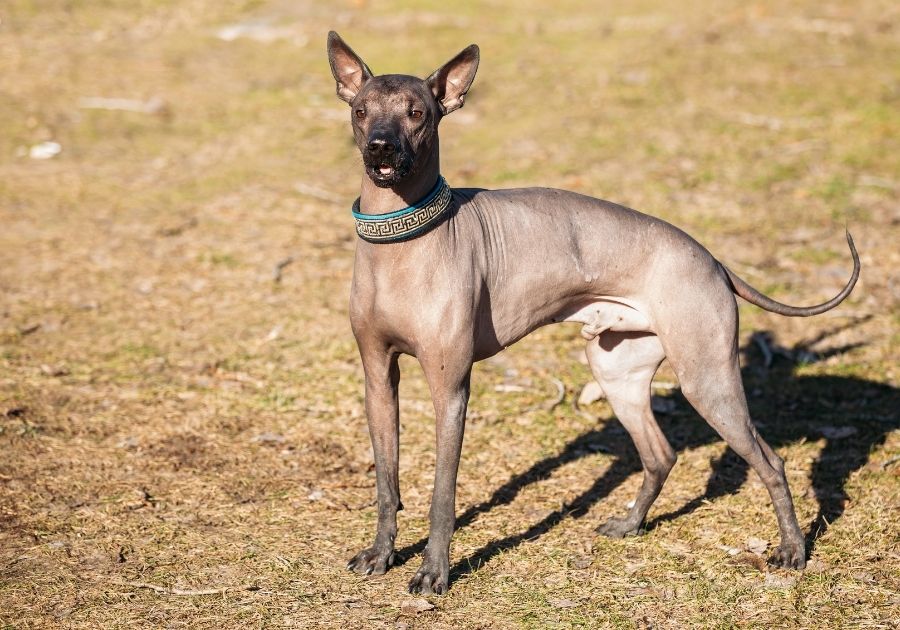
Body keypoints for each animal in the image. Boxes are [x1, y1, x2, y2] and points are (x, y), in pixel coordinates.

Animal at [326, 30, 860, 596]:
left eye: (417, 113)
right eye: (361, 111)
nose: (381, 146)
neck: (401, 238)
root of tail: (713, 259)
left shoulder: (450, 390)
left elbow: (441, 495)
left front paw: (434, 570)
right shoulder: (378, 379)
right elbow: (386, 481)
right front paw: (382, 554)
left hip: (706, 379)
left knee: (772, 461)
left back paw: (793, 551)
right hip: (617, 372)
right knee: (660, 454)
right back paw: (630, 524)